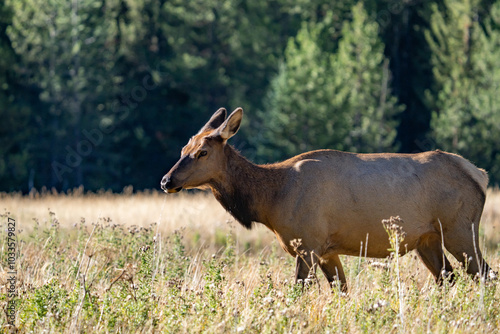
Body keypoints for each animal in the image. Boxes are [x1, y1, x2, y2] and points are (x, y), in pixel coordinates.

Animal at [161, 107, 492, 290]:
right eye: (183, 149)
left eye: (203, 152)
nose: (166, 181)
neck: (270, 200)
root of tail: (479, 174)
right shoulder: (327, 251)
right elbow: (342, 290)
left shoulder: (307, 244)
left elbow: (299, 290)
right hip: (427, 239)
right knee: (448, 277)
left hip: (460, 228)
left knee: (483, 273)